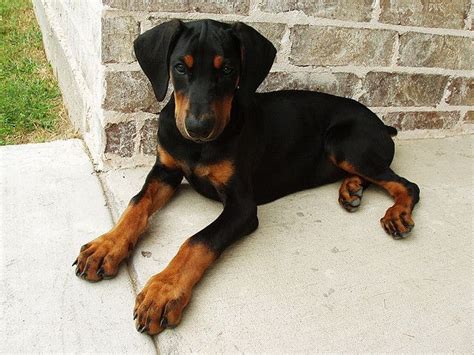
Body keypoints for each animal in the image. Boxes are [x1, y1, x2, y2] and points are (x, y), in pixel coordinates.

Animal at [72, 19, 420, 336]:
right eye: (179, 67)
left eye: (227, 69)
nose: (198, 128)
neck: (198, 148)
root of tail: (382, 124)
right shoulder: (166, 171)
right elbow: (136, 204)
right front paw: (106, 246)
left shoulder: (242, 206)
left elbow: (198, 240)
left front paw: (164, 290)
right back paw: (351, 189)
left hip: (343, 142)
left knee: (407, 184)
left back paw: (396, 214)